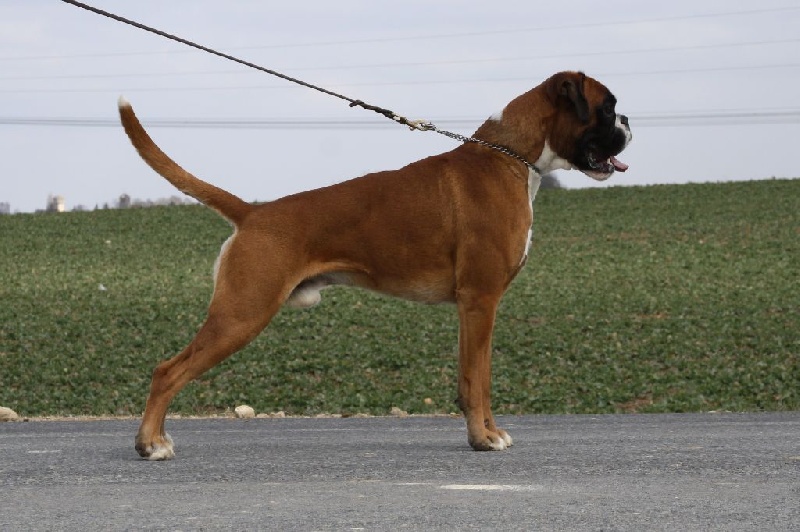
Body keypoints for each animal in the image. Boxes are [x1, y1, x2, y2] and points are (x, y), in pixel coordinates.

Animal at [118, 71, 631, 460]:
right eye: (607, 108)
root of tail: (252, 213)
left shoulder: (474, 309)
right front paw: (485, 438)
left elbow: (474, 378)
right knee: (167, 371)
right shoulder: (481, 301)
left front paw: (484, 433)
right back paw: (151, 444)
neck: (511, 157)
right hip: (242, 313)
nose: (629, 120)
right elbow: (478, 379)